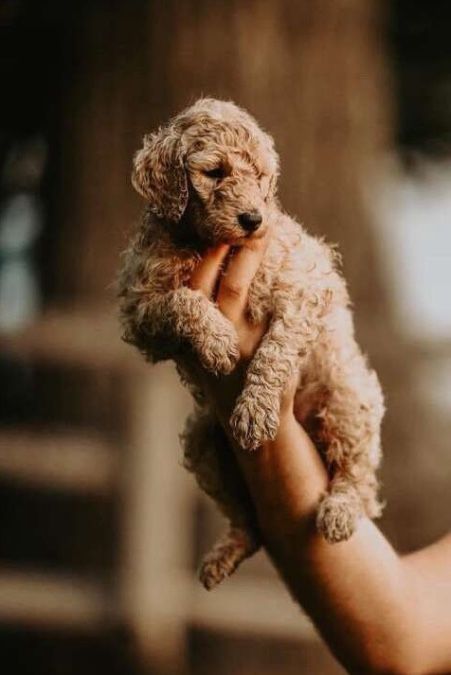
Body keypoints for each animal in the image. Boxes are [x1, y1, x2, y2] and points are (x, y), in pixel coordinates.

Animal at [118, 99, 386, 592]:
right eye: (215, 172)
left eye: (260, 176)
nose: (253, 220)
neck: (207, 242)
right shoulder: (139, 309)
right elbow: (179, 301)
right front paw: (218, 339)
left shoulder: (303, 287)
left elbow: (275, 350)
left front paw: (255, 412)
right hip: (202, 440)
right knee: (248, 523)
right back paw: (225, 554)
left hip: (346, 398)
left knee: (360, 477)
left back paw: (339, 510)